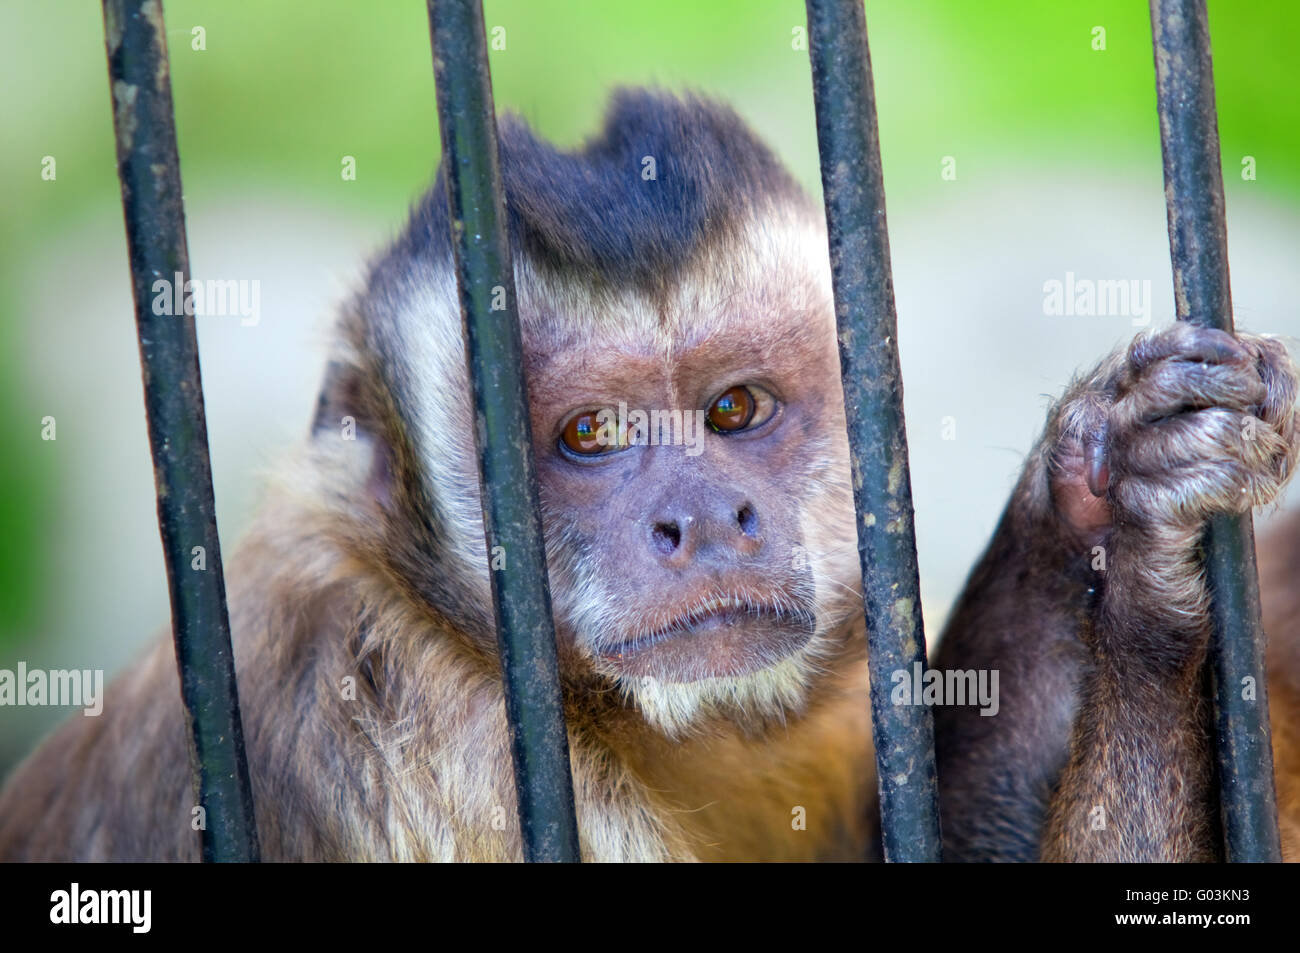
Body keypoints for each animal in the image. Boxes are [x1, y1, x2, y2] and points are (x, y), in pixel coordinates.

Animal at [2, 91, 1300, 863]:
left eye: (735, 411)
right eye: (588, 434)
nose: (705, 518)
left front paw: (1086, 506)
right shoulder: (411, 734)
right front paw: (1143, 594)